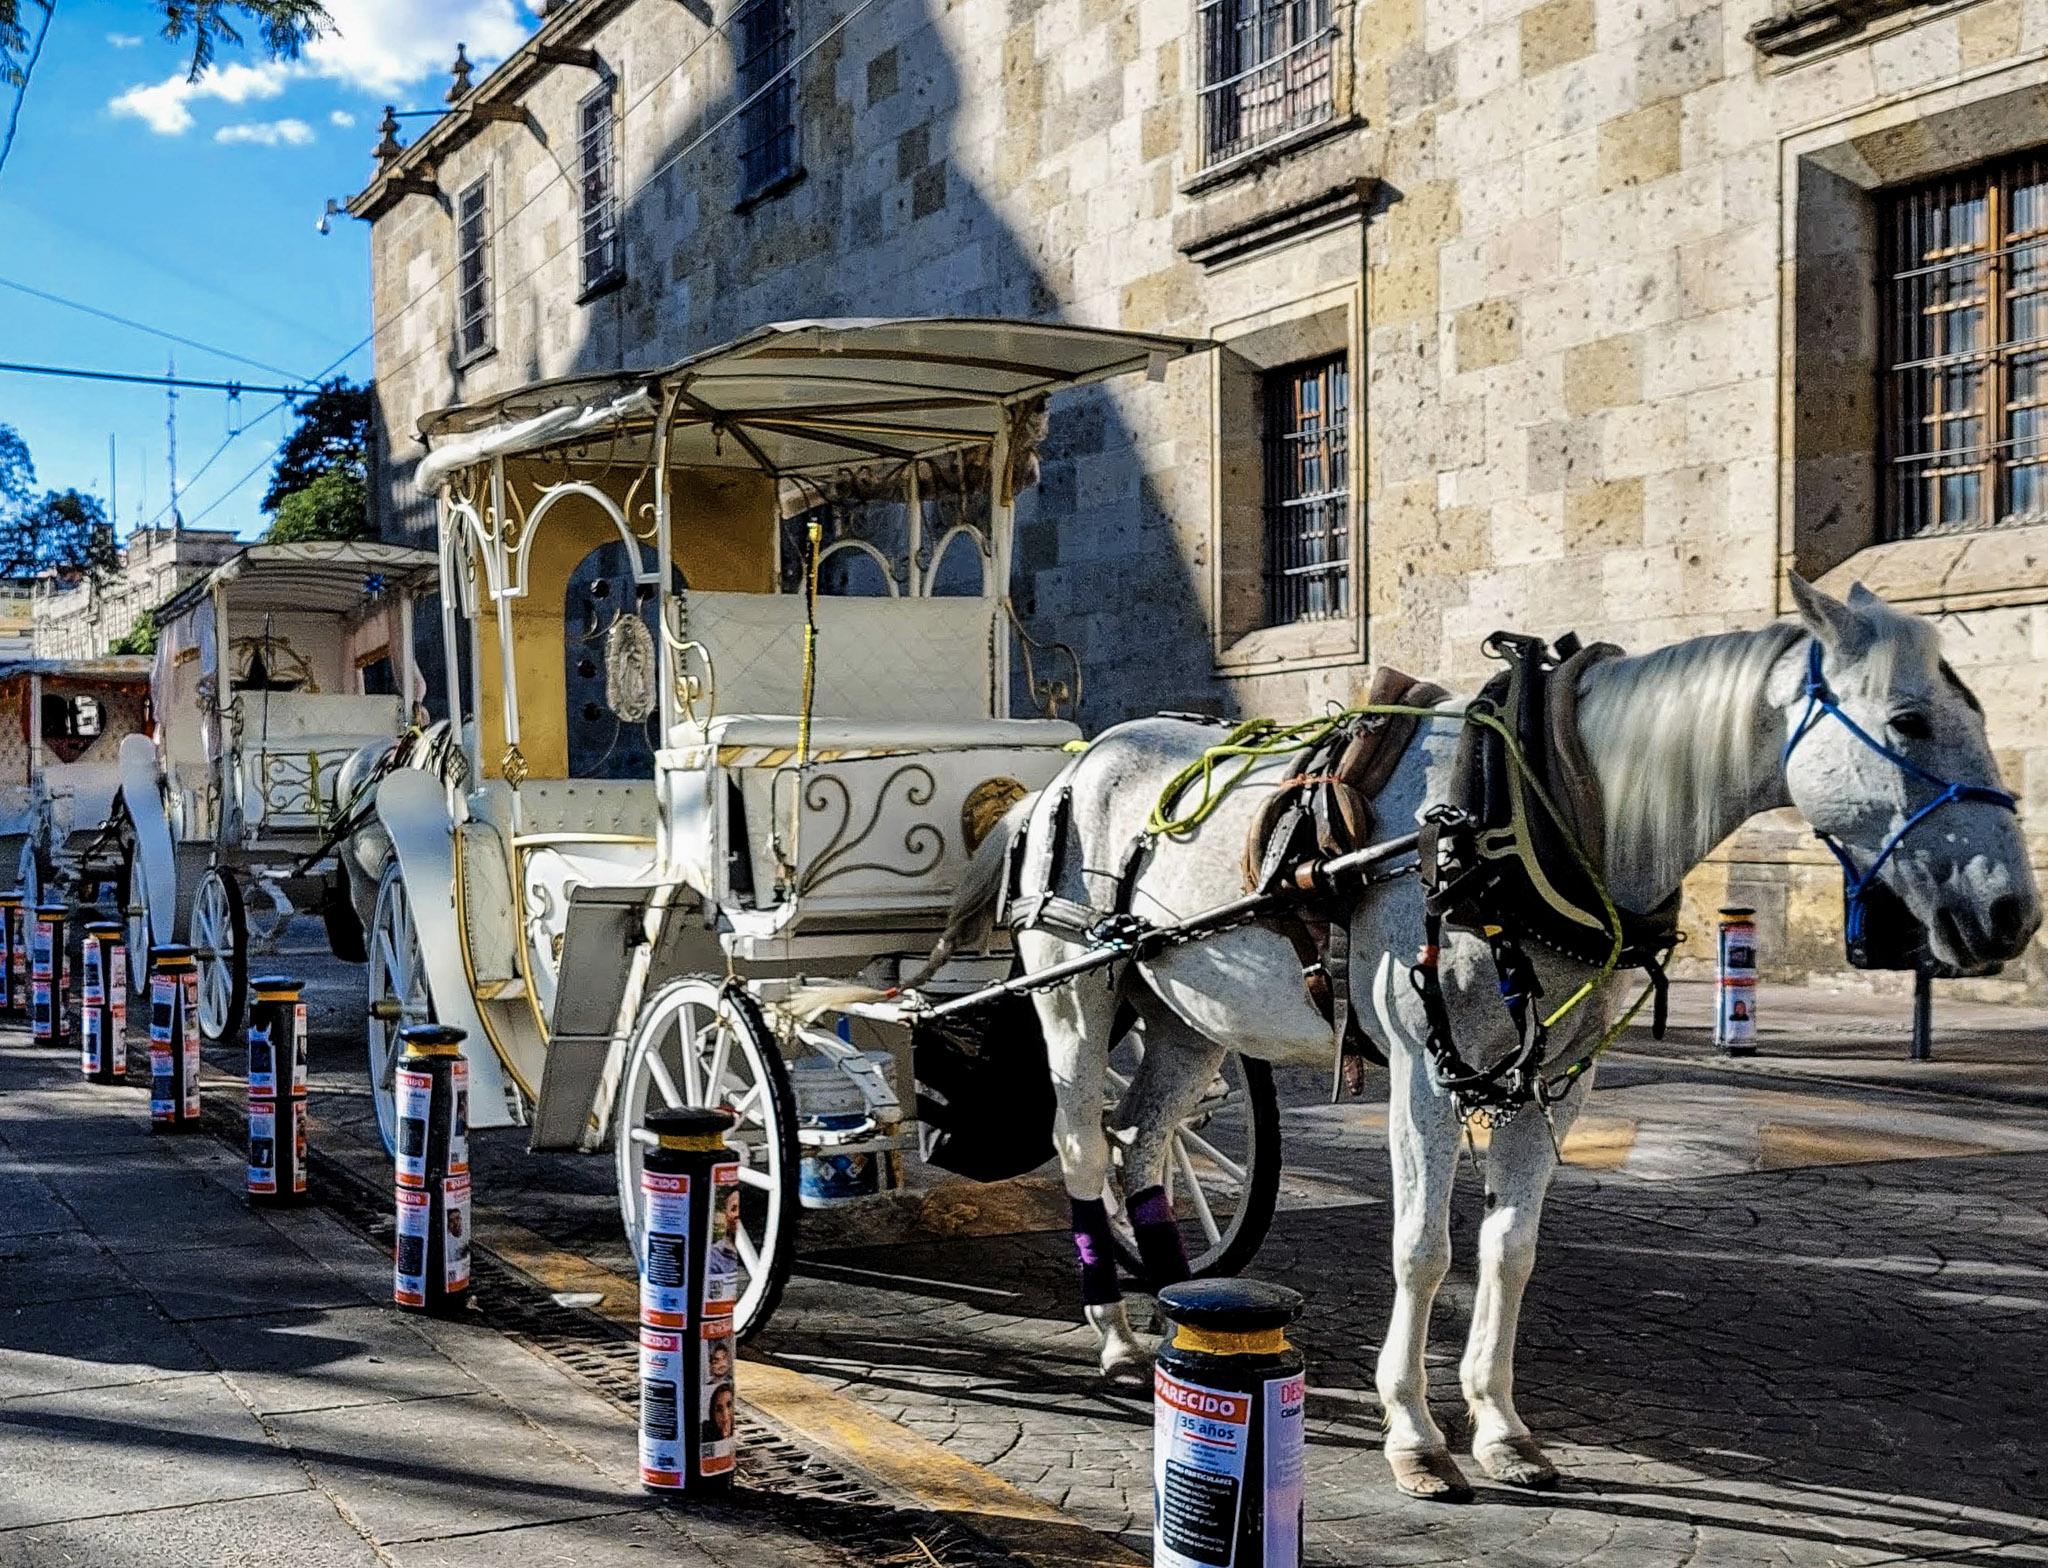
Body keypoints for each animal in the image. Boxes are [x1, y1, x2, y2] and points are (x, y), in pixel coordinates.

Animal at [925, 573, 2031, 1498]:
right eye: (1908, 718)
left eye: (1978, 712)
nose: (2010, 911)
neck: (1523, 813)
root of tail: (1069, 773)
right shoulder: (1425, 1069)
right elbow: (1423, 1247)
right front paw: (1413, 1432)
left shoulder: (1557, 1079)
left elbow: (1509, 1249)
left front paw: (1499, 1424)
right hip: (1078, 989)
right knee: (1080, 1140)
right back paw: (1114, 1328)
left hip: (1189, 1010)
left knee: (1143, 1141)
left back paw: (1176, 1302)